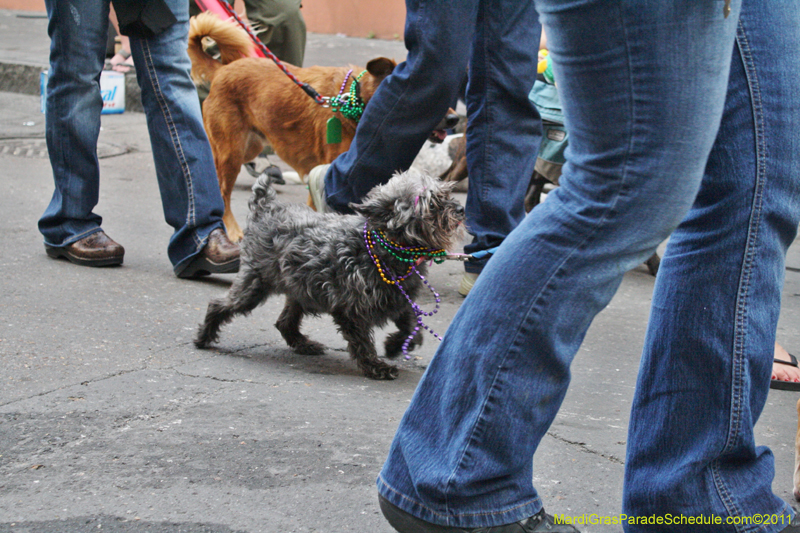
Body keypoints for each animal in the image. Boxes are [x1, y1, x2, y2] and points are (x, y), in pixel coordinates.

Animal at [195, 169, 466, 378]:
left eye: (447, 194)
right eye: (433, 203)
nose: (460, 209)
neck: (388, 251)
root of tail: (266, 210)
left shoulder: (400, 301)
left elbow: (413, 328)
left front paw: (393, 346)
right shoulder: (351, 310)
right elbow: (363, 342)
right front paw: (375, 366)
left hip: (300, 291)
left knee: (284, 322)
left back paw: (304, 344)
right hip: (254, 286)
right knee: (218, 305)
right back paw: (204, 337)